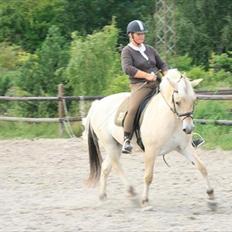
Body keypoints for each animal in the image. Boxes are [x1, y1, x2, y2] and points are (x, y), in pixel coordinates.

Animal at [84, 68, 215, 208]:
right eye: (178, 102)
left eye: (194, 100)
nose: (189, 129)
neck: (171, 118)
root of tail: (97, 104)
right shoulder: (150, 151)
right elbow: (148, 176)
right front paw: (145, 201)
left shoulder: (184, 147)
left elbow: (202, 167)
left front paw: (211, 197)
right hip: (109, 144)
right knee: (116, 166)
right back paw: (132, 193)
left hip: (116, 145)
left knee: (106, 167)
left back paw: (103, 196)